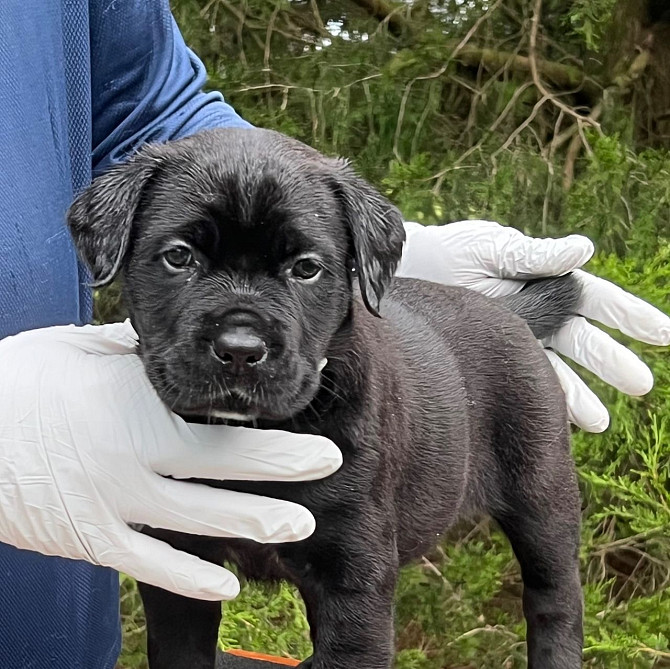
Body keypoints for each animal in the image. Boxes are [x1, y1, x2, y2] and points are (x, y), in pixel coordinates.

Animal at [67, 129, 584, 668]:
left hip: (542, 494)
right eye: (179, 257)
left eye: (306, 268)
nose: (240, 349)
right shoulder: (180, 564)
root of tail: (511, 311)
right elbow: (182, 653)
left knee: (555, 599)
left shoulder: (354, 575)